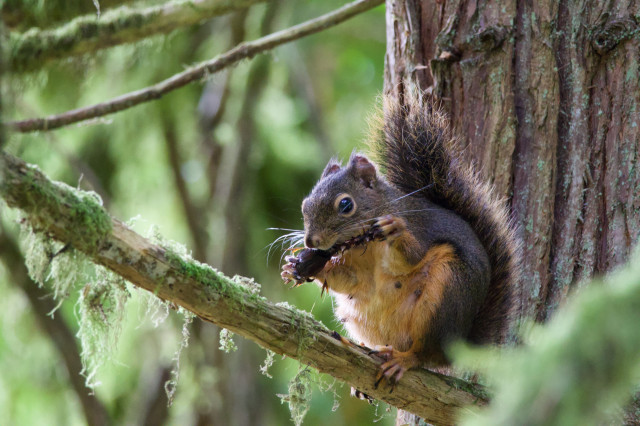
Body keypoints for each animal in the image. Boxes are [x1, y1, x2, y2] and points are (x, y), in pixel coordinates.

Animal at [280, 98, 520, 388]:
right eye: (305, 205)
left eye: (346, 205)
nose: (311, 240)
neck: (363, 246)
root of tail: (458, 345)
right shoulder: (354, 270)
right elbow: (347, 280)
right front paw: (298, 266)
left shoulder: (420, 230)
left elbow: (412, 256)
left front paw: (395, 230)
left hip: (445, 294)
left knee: (425, 354)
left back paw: (403, 360)